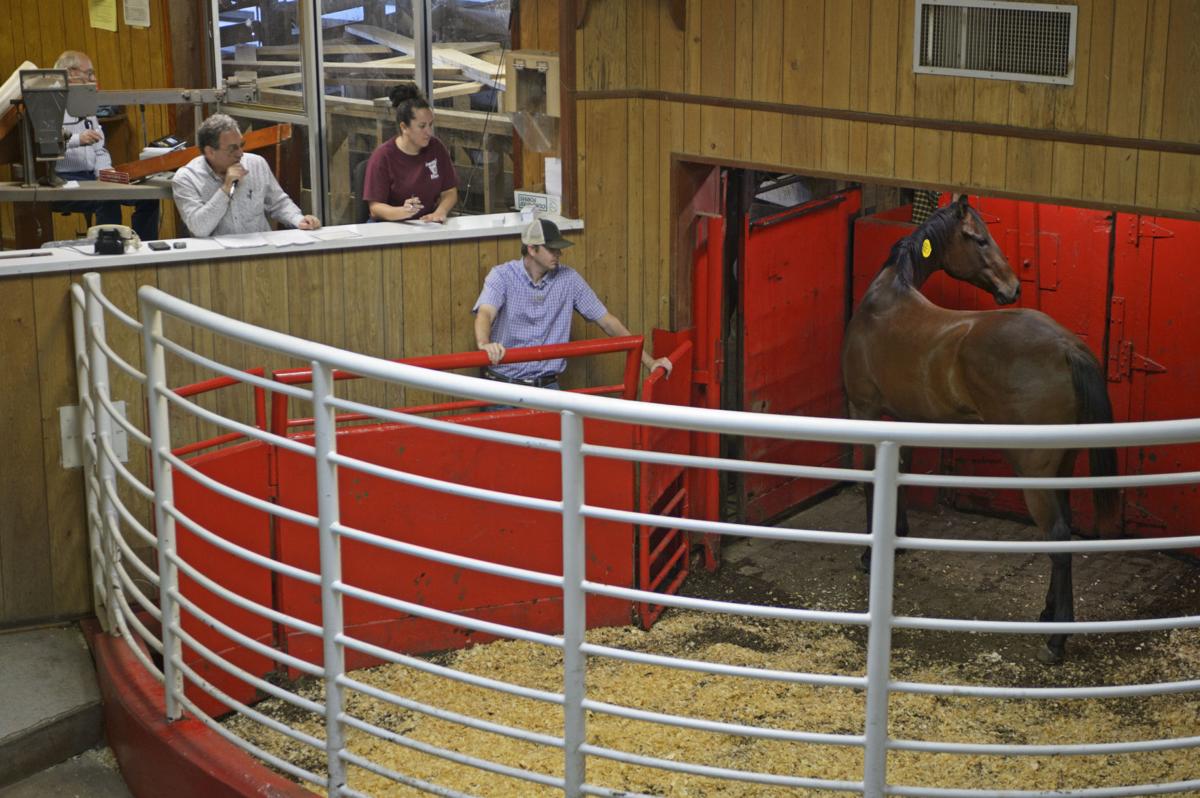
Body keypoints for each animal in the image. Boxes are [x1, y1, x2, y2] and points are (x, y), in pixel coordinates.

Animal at [841, 194, 1119, 664]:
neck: (887, 301)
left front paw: (867, 555)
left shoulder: (864, 412)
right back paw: (1048, 615)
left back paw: (1056, 638)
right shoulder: (906, 420)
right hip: (1061, 466)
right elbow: (899, 477)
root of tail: (1067, 346)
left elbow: (870, 484)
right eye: (978, 238)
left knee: (1057, 536)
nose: (1013, 287)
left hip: (1034, 473)